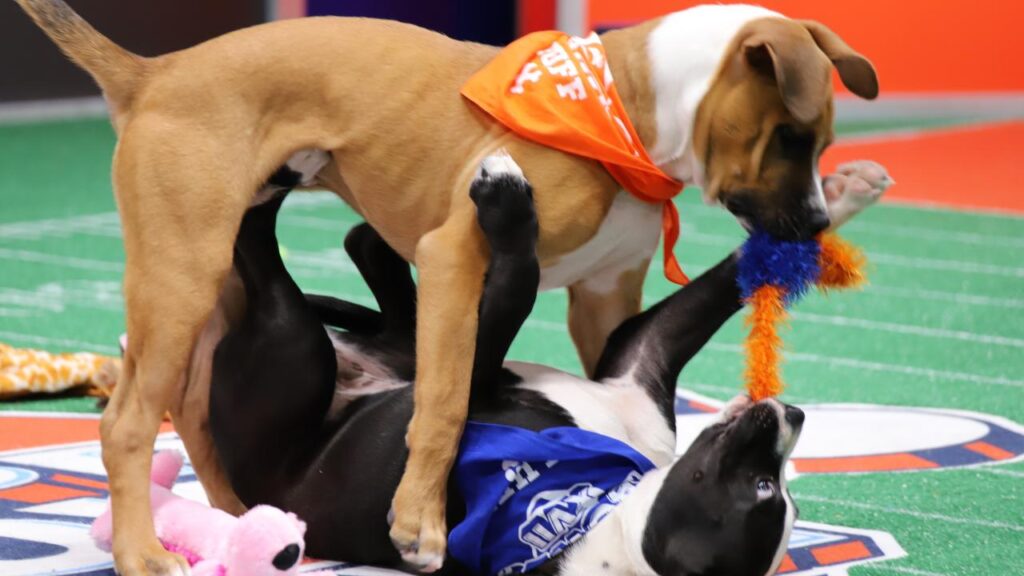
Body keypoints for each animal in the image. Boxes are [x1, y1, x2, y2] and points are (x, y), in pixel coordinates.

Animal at [209, 153, 888, 573]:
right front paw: (838, 196)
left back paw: (284, 180)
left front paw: (506, 203)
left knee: (260, 250)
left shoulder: (460, 399)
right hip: (374, 342)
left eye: (769, 487)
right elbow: (729, 277)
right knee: (390, 290)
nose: (793, 413)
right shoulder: (644, 352)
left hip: (291, 347)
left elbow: (517, 287)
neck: (592, 517)